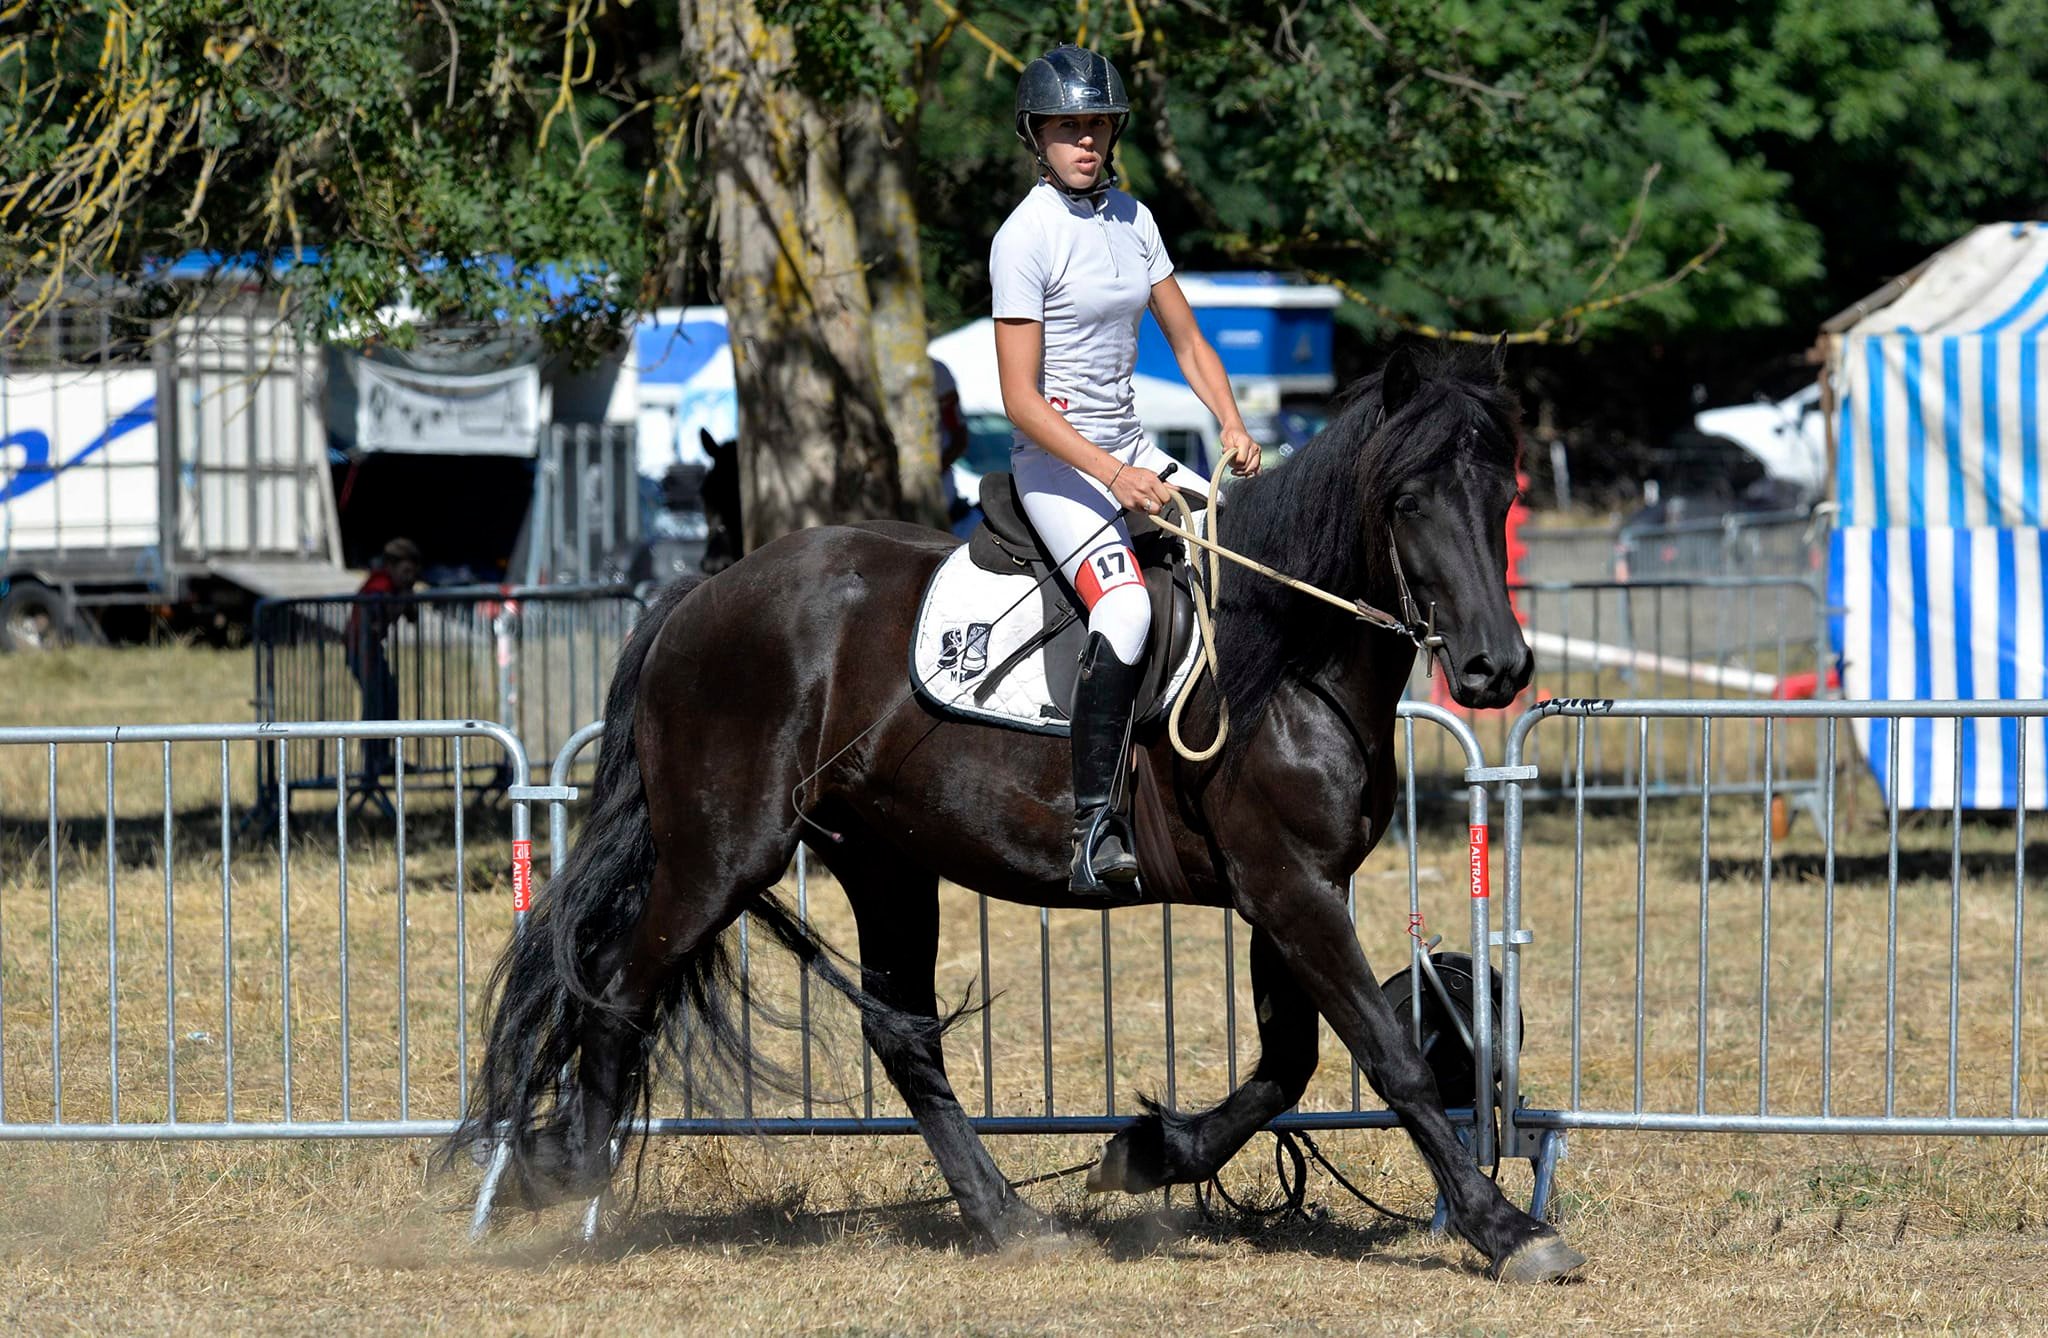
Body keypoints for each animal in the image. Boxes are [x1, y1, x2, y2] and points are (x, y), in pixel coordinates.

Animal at [456, 344, 1581, 1286]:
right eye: (1408, 499)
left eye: (1503, 495)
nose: (1496, 670)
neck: (1282, 655)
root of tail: (704, 594)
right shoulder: (1290, 890)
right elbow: (1389, 1061)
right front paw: (1504, 1228)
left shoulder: (1290, 891)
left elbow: (1286, 1066)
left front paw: (1148, 1152)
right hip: (721, 857)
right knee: (618, 985)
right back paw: (567, 1170)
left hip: (884, 864)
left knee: (902, 1037)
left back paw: (1006, 1216)